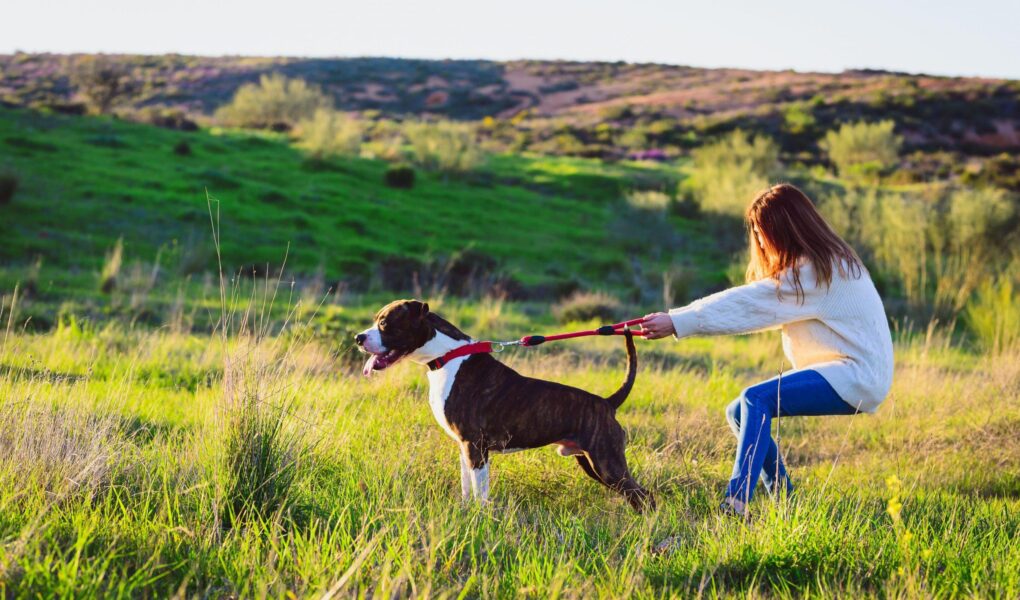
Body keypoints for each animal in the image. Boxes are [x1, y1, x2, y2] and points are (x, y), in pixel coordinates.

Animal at [354, 297, 648, 508]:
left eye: (385, 323)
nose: (358, 337)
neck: (448, 356)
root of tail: (607, 403)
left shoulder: (475, 446)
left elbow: (481, 494)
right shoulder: (464, 448)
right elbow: (467, 489)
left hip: (607, 463)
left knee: (645, 497)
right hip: (591, 462)